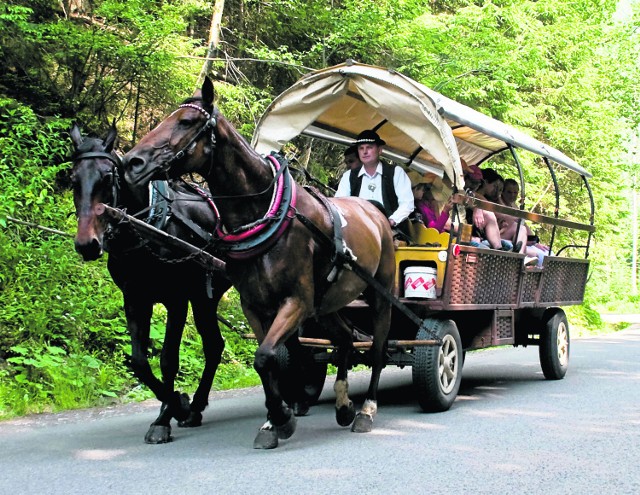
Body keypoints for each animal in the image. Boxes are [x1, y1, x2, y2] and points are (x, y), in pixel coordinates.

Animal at [70, 124, 230, 446]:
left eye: (107, 177)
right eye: (72, 180)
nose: (87, 244)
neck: (149, 226)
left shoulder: (177, 299)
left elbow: (168, 360)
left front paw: (165, 418)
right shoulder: (135, 299)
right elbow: (139, 363)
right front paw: (178, 405)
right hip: (205, 297)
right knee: (214, 345)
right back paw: (196, 406)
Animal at [123, 77, 398, 450]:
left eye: (186, 122)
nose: (132, 162)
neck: (263, 213)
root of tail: (375, 212)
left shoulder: (295, 302)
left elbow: (265, 356)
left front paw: (280, 417)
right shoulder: (255, 305)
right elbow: (268, 361)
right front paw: (275, 420)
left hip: (379, 297)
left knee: (379, 350)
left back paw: (366, 410)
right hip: (326, 304)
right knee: (344, 340)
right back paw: (343, 406)